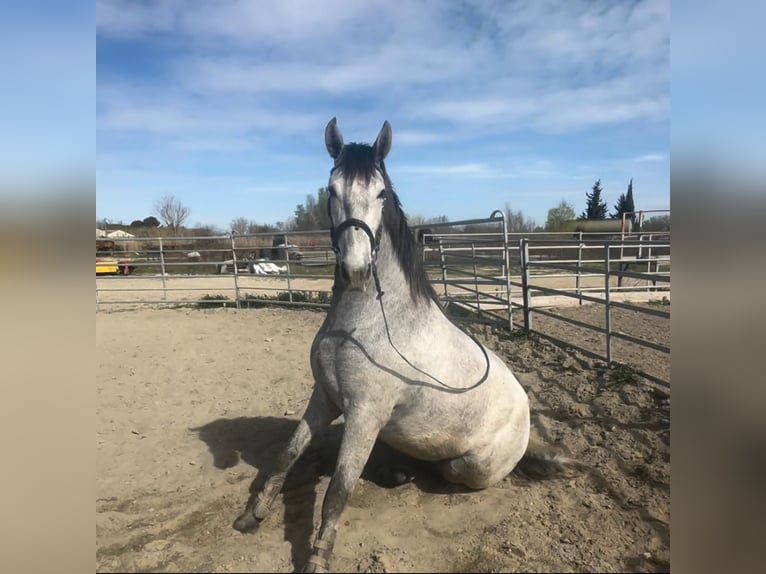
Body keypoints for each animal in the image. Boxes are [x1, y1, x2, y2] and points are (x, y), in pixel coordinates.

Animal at [234, 119, 584, 572]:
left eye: (381, 193)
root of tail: (525, 423)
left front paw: (317, 559)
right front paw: (251, 516)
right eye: (331, 189)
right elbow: (286, 455)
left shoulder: (365, 415)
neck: (364, 325)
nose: (356, 270)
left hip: (467, 466)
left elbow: (338, 492)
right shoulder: (324, 399)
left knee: (445, 471)